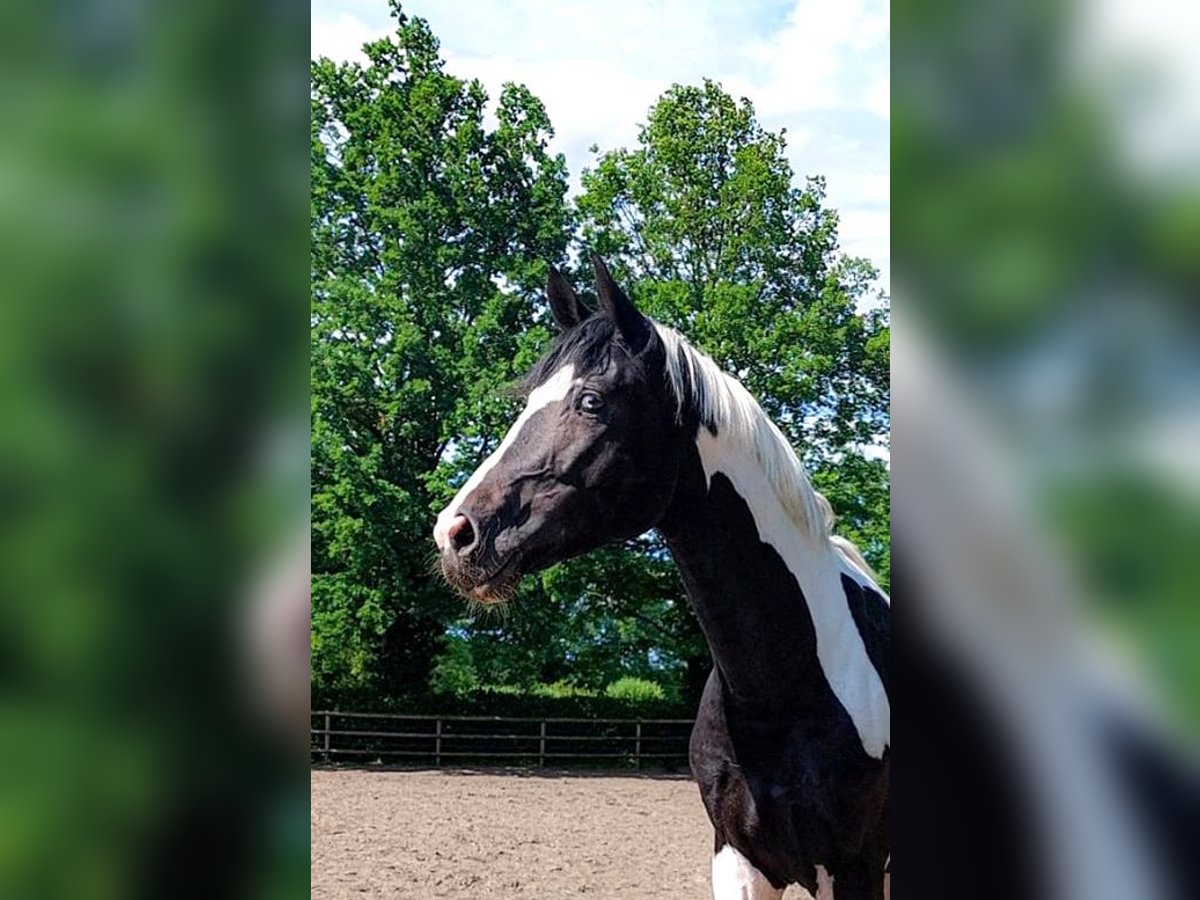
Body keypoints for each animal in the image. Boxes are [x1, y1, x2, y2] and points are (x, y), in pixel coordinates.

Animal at [434, 255, 892, 900]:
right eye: (527, 400)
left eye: (591, 401)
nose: (455, 534)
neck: (786, 691)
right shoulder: (738, 860)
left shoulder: (856, 868)